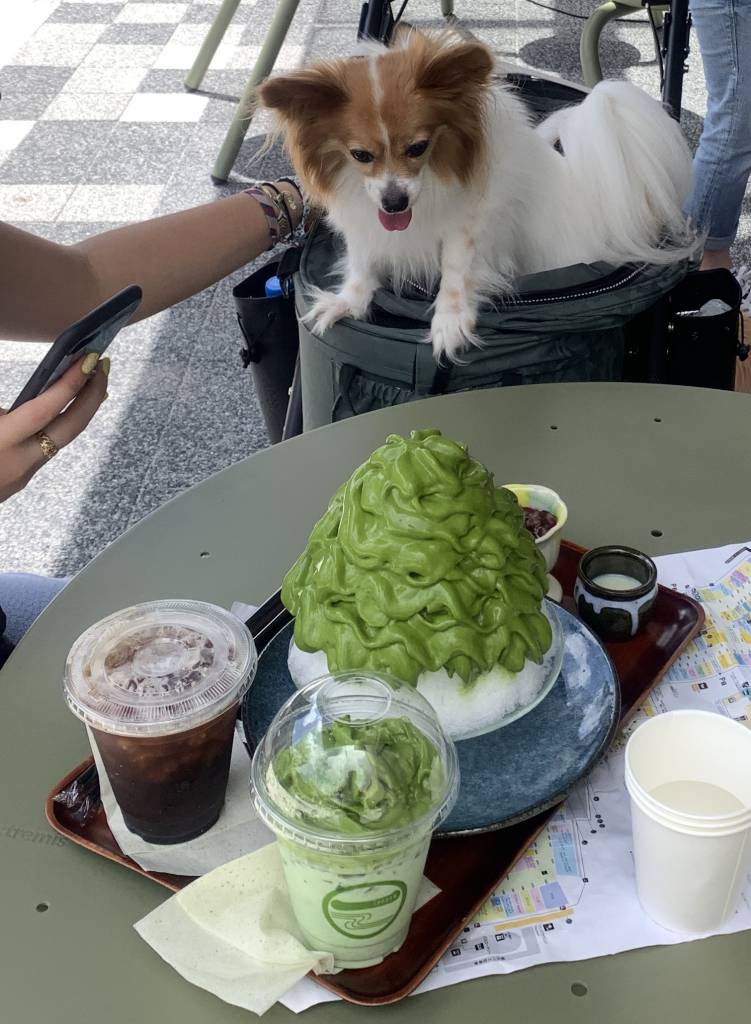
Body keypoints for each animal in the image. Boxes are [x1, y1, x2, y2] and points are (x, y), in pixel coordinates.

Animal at [260, 30, 697, 362]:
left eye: (418, 148)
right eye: (360, 156)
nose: (394, 203)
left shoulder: (467, 227)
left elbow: (456, 272)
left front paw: (449, 323)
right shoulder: (366, 223)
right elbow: (363, 265)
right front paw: (348, 302)